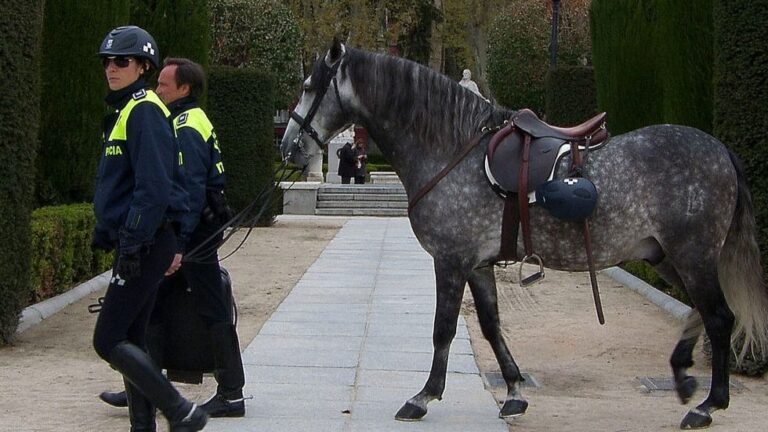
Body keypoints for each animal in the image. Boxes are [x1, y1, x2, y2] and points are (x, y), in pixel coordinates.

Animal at [280, 40, 768, 428]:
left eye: (308, 86)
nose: (288, 147)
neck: (452, 149)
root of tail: (719, 150)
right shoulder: (477, 265)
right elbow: (491, 326)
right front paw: (514, 391)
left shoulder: (451, 261)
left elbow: (443, 329)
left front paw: (424, 396)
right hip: (665, 258)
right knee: (700, 313)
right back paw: (684, 376)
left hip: (693, 256)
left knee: (719, 318)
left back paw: (708, 404)